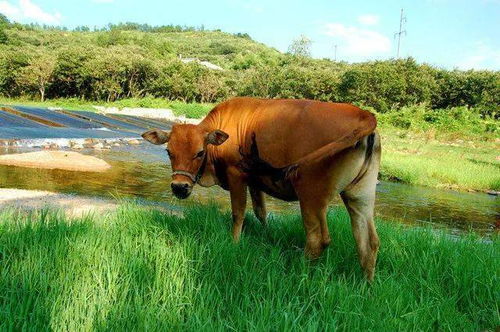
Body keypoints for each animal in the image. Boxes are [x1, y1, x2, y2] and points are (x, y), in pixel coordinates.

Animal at [143, 96, 380, 280]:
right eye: (168, 152)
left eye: (199, 152)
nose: (179, 187)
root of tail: (363, 114)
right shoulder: (254, 181)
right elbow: (261, 212)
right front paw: (266, 236)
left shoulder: (236, 176)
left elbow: (238, 213)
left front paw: (234, 242)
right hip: (360, 197)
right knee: (368, 242)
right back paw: (365, 285)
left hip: (311, 196)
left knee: (318, 240)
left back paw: (300, 273)